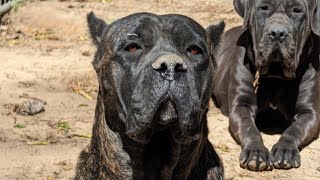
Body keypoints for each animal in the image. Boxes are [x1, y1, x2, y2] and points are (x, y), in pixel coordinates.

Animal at [212, 0, 320, 172]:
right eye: (264, 7)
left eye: (297, 10)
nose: (277, 33)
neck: (275, 75)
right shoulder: (241, 106)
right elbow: (249, 129)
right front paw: (255, 152)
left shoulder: (309, 113)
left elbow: (294, 130)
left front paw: (285, 150)